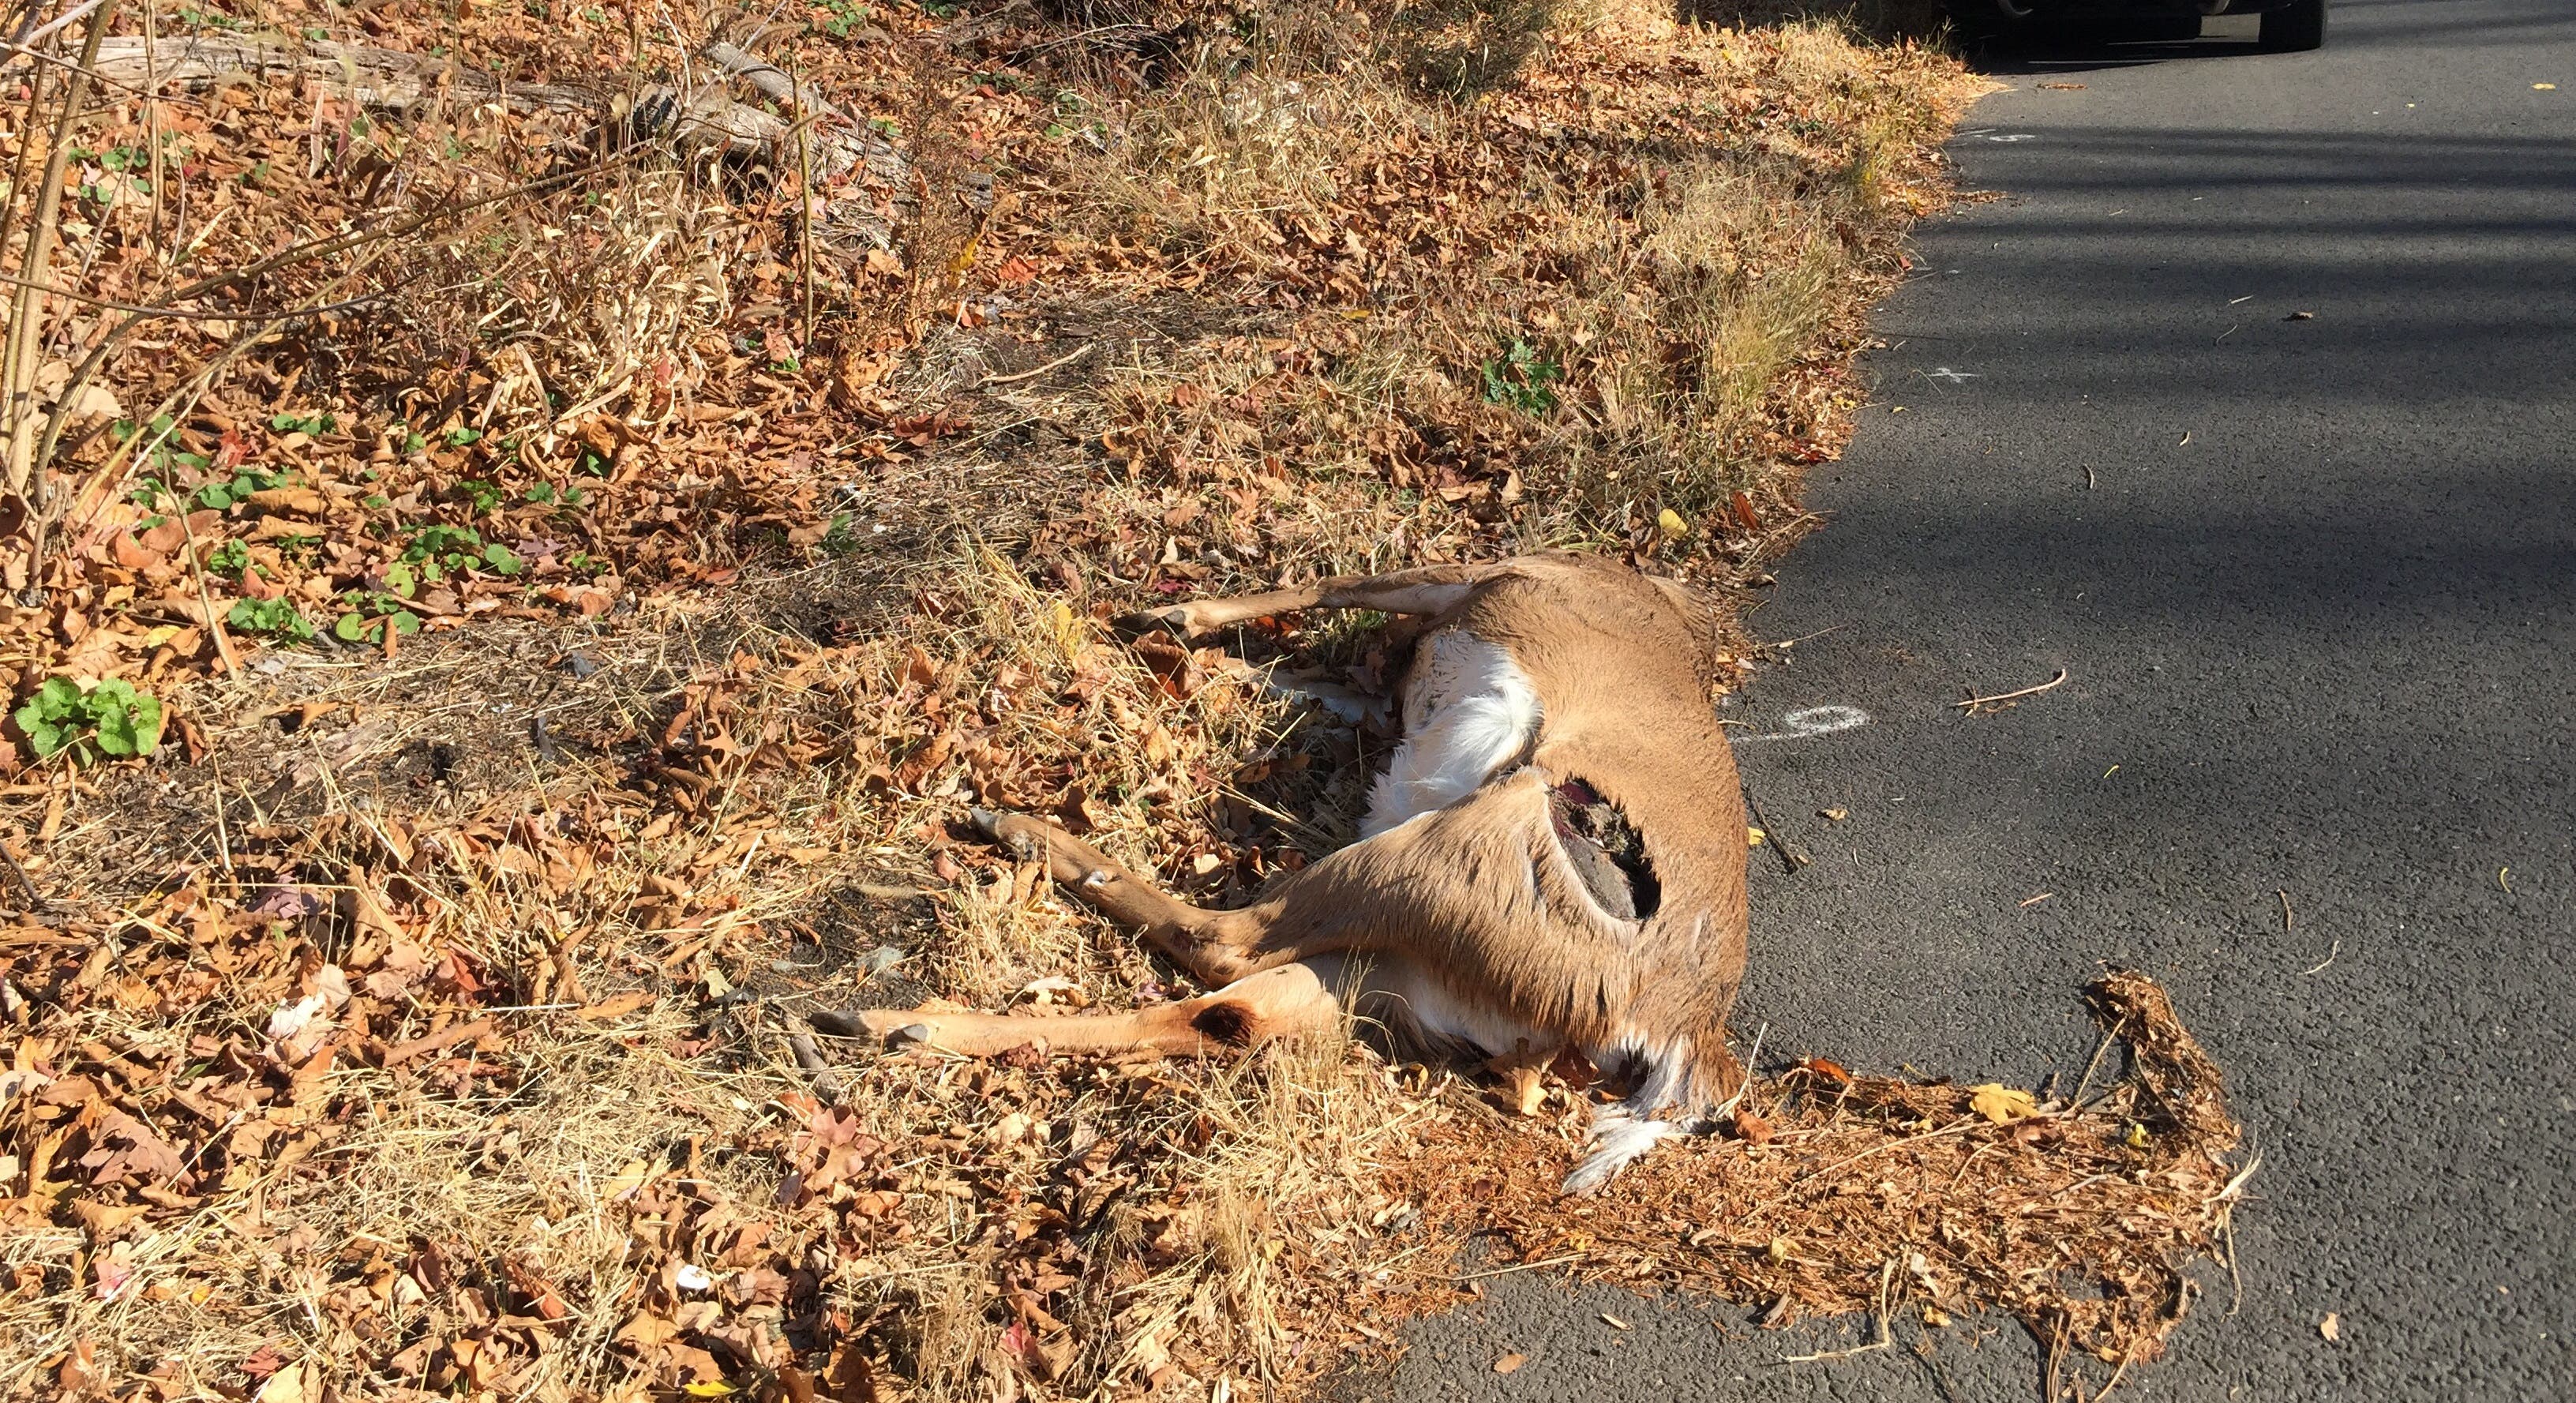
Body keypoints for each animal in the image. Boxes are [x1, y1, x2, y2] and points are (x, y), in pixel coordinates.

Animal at [858, 553, 1752, 1192]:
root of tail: (1675, 1025)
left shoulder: (1482, 570)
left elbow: (1334, 584)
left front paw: (1166, 618)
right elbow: (1315, 679)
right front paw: (1186, 647)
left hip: (1449, 849)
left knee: (1221, 942)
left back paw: (1015, 830)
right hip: (1399, 963)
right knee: (1226, 1010)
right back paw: (892, 1023)